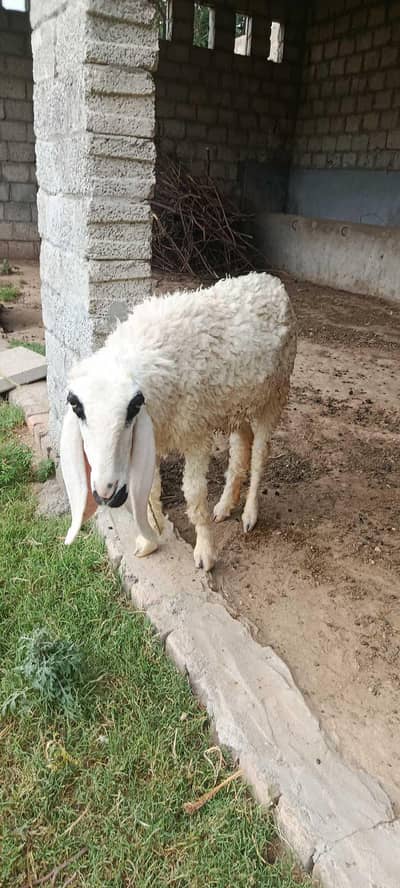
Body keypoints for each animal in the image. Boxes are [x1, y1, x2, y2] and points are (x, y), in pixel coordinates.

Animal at [60, 271, 297, 571]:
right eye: (76, 407)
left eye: (132, 407)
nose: (105, 493)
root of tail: (270, 280)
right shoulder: (155, 437)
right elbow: (150, 490)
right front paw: (150, 540)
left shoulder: (195, 434)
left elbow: (194, 494)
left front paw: (205, 552)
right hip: (234, 403)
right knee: (242, 443)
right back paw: (225, 505)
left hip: (275, 394)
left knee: (260, 455)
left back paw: (249, 513)